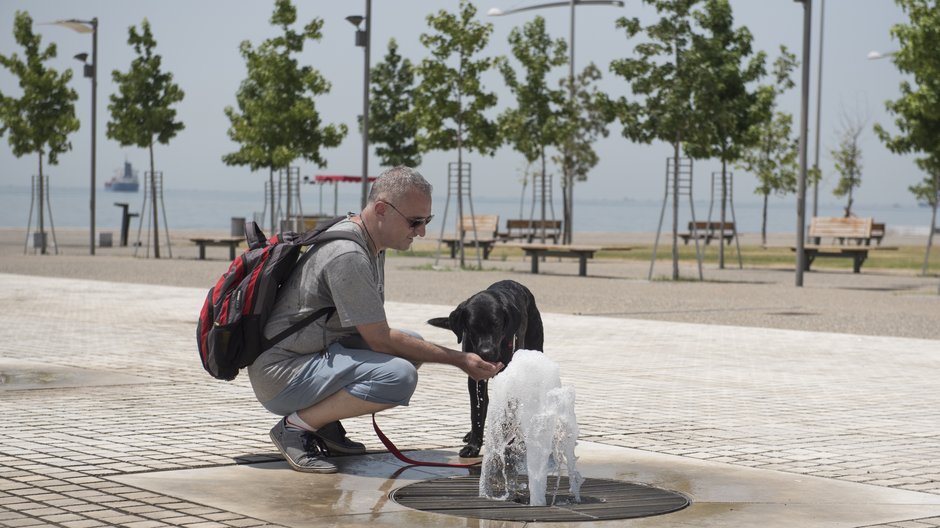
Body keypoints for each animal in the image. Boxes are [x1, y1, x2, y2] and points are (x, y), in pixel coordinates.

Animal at [428, 280, 544, 458]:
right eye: (472, 327)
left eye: (496, 324)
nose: (486, 352)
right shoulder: (475, 377)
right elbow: (476, 411)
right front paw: (473, 445)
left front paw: (507, 441)